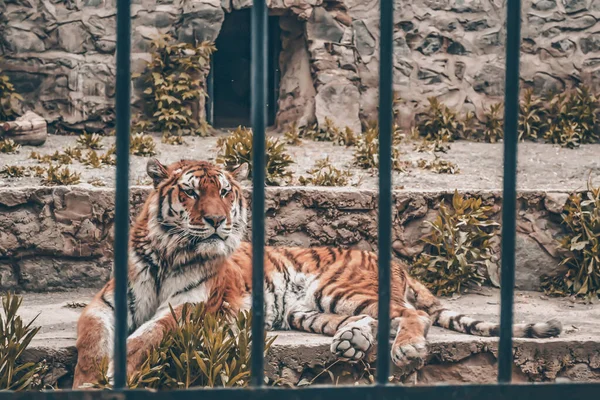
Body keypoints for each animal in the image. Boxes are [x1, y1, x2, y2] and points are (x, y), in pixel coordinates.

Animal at [71, 159, 564, 388]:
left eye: (226, 193)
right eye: (191, 193)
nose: (215, 221)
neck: (169, 253)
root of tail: (394, 261)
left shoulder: (190, 308)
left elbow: (145, 338)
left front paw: (114, 373)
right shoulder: (105, 303)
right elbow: (91, 338)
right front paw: (88, 380)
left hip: (337, 288)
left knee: (414, 316)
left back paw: (403, 350)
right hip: (305, 311)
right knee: (373, 320)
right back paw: (352, 342)